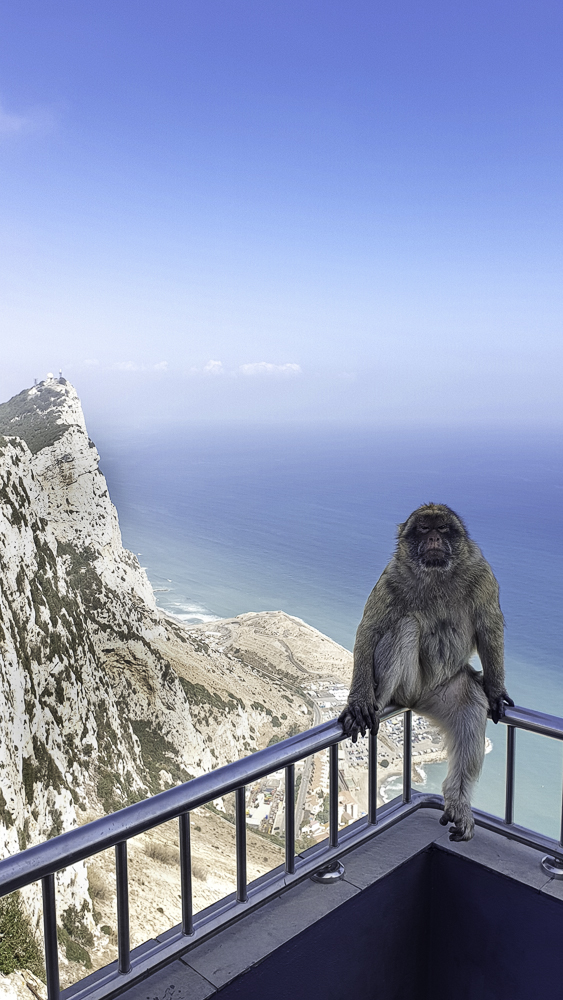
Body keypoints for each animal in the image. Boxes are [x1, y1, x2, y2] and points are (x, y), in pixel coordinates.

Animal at [340, 504, 516, 840]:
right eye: (423, 529)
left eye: (443, 528)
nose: (433, 537)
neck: (437, 575)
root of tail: (419, 700)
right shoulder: (391, 577)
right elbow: (370, 629)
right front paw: (359, 701)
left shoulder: (483, 574)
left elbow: (489, 626)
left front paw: (496, 688)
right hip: (409, 686)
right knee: (406, 626)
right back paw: (378, 701)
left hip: (448, 690)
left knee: (470, 710)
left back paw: (458, 801)